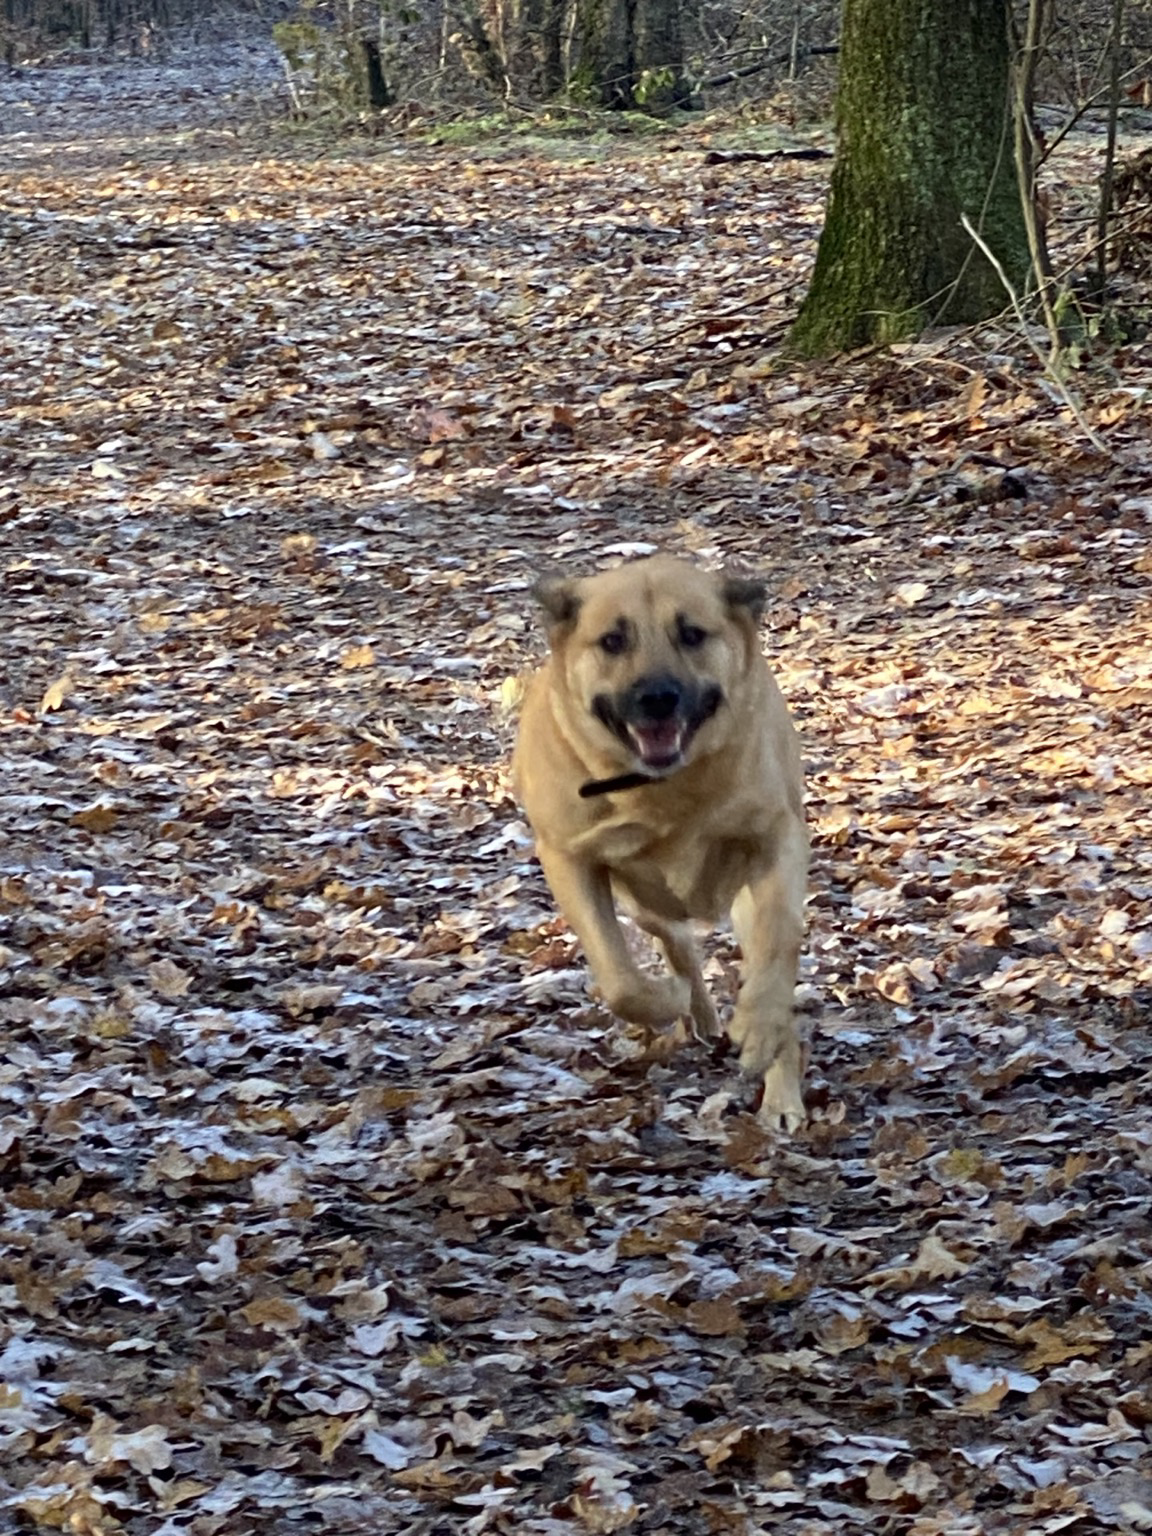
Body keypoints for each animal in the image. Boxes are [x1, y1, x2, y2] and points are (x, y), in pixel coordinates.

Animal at [513, 554, 809, 1130]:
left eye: (692, 634)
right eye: (612, 641)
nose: (657, 698)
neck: (660, 790)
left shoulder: (776, 836)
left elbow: (777, 942)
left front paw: (761, 1029)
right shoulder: (569, 858)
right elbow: (620, 980)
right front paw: (668, 999)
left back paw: (779, 1088)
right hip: (642, 902)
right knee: (677, 943)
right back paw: (694, 1007)